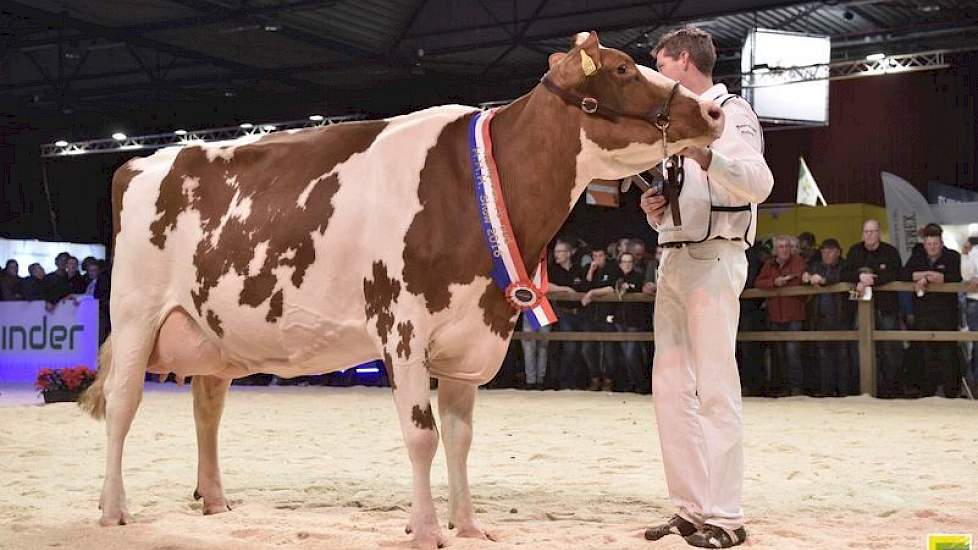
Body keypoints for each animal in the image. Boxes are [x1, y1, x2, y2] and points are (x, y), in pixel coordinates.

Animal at [82, 32, 724, 548]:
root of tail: (142, 161)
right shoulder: (404, 329)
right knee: (122, 404)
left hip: (216, 328)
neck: (478, 185)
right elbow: (421, 437)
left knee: (207, 405)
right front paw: (427, 530)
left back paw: (215, 501)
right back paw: (113, 510)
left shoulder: (473, 336)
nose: (713, 113)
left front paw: (468, 525)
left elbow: (460, 439)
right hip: (135, 314)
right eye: (622, 69)